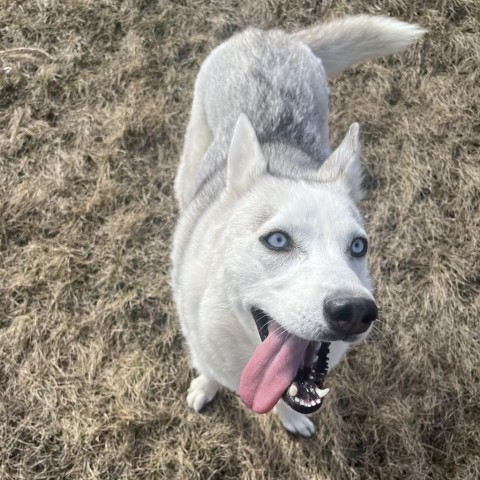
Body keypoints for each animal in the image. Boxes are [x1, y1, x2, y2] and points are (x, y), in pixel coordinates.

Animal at [172, 15, 424, 436]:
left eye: (358, 247)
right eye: (277, 240)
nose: (354, 311)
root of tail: (268, 35)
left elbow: (281, 401)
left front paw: (291, 419)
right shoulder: (199, 339)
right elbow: (207, 368)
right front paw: (204, 388)